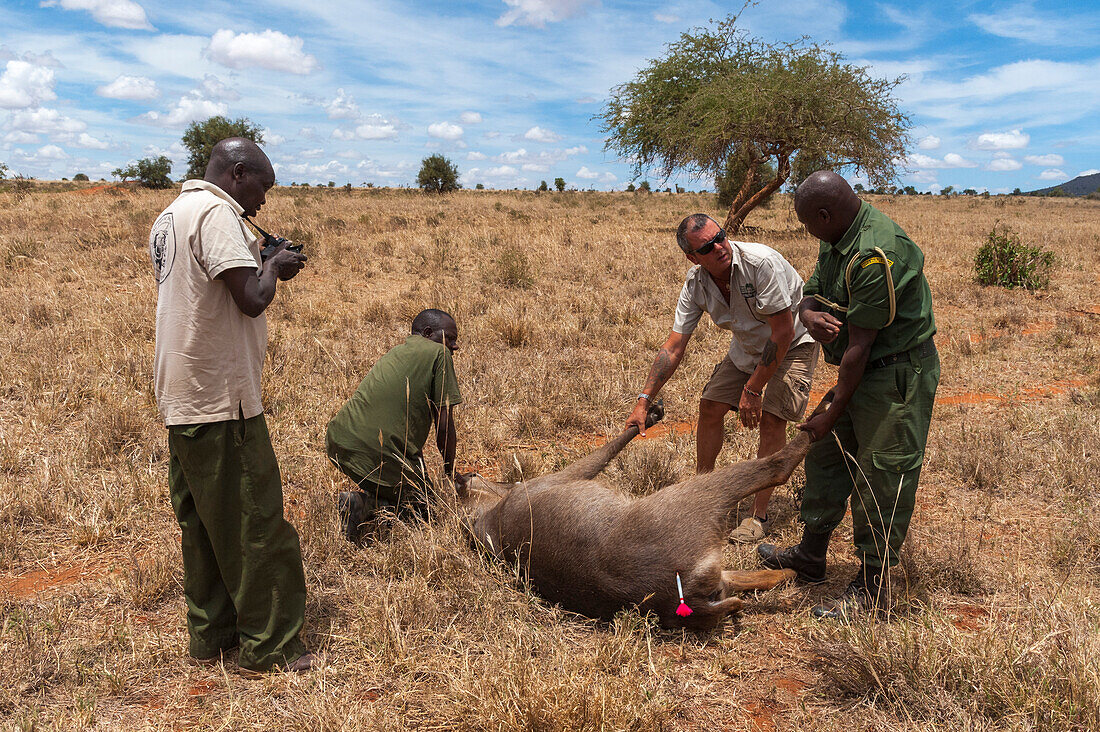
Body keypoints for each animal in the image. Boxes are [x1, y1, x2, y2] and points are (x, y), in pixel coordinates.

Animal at [455, 396, 827, 629]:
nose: (462, 474)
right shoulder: (565, 475)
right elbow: (609, 448)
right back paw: (825, 412)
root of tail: (681, 601)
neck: (487, 516)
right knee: (779, 466)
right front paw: (649, 415)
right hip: (701, 494)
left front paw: (650, 413)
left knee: (756, 579)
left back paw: (789, 573)